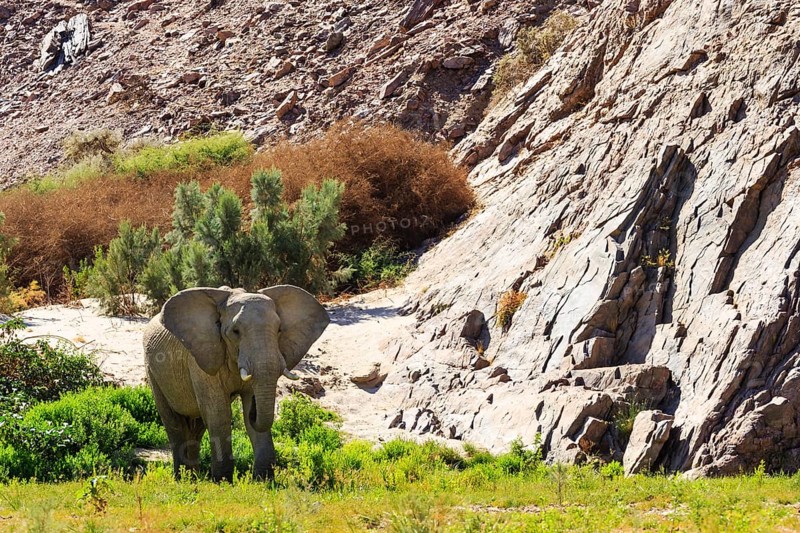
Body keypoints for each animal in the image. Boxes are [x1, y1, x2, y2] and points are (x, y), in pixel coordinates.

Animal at [143, 285, 329, 481]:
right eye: (235, 332)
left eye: (279, 329)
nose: (254, 409)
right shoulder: (201, 358)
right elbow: (219, 414)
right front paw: (222, 482)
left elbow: (246, 417)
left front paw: (263, 481)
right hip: (153, 371)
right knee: (174, 423)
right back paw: (183, 479)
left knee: (197, 426)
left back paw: (192, 477)